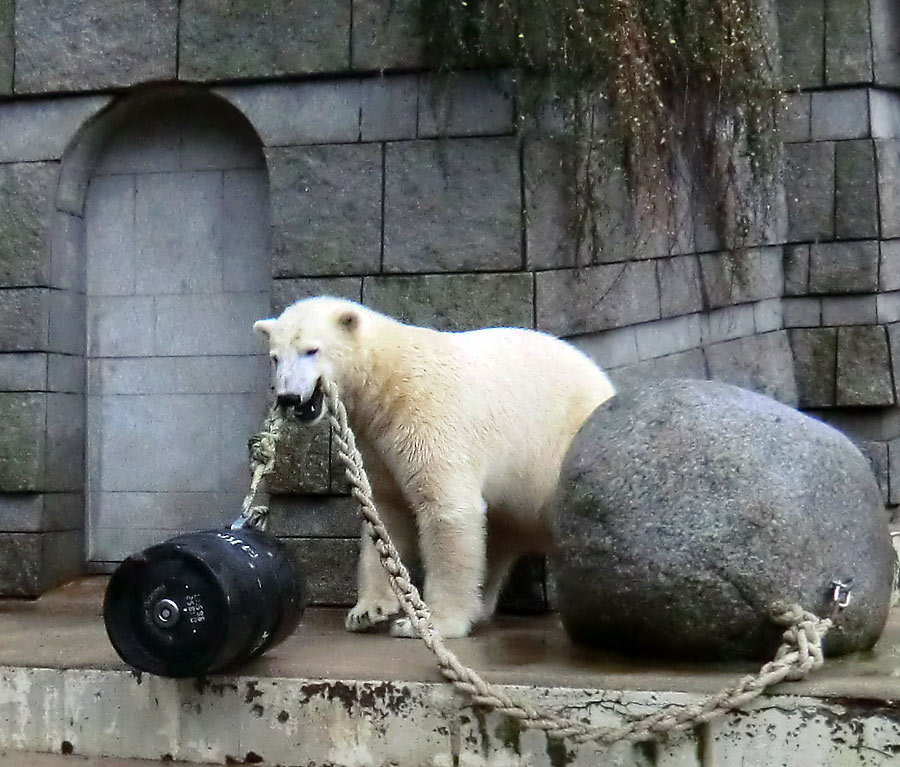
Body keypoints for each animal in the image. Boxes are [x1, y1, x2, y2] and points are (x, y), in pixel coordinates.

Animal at [256, 296, 616, 640]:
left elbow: (446, 509)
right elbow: (385, 515)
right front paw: (367, 611)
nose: (288, 397)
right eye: (275, 357)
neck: (387, 380)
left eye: (311, 350)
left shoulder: (427, 418)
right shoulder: (376, 444)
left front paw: (429, 624)